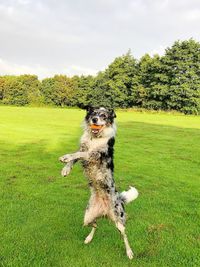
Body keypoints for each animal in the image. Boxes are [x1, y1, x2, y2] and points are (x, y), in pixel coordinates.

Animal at [58, 107, 138, 260]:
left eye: (103, 116)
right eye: (93, 113)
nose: (94, 119)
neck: (95, 138)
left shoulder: (95, 155)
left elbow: (78, 154)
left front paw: (65, 157)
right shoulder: (84, 149)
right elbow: (76, 156)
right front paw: (66, 169)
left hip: (119, 220)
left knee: (124, 235)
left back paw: (129, 252)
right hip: (87, 216)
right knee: (95, 225)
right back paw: (89, 238)